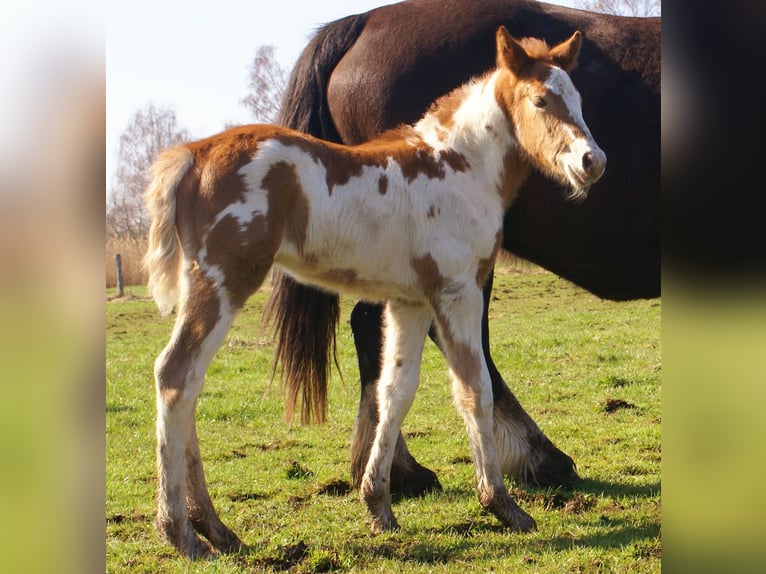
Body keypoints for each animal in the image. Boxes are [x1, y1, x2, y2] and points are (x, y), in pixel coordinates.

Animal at [144, 27, 605, 558]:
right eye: (540, 100)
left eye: (579, 99)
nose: (593, 162)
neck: (459, 167)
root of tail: (192, 155)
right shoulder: (458, 291)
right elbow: (475, 390)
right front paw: (503, 506)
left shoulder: (411, 301)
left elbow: (395, 391)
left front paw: (378, 505)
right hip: (224, 281)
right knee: (176, 375)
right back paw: (182, 533)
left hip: (204, 284)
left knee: (189, 384)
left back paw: (217, 530)